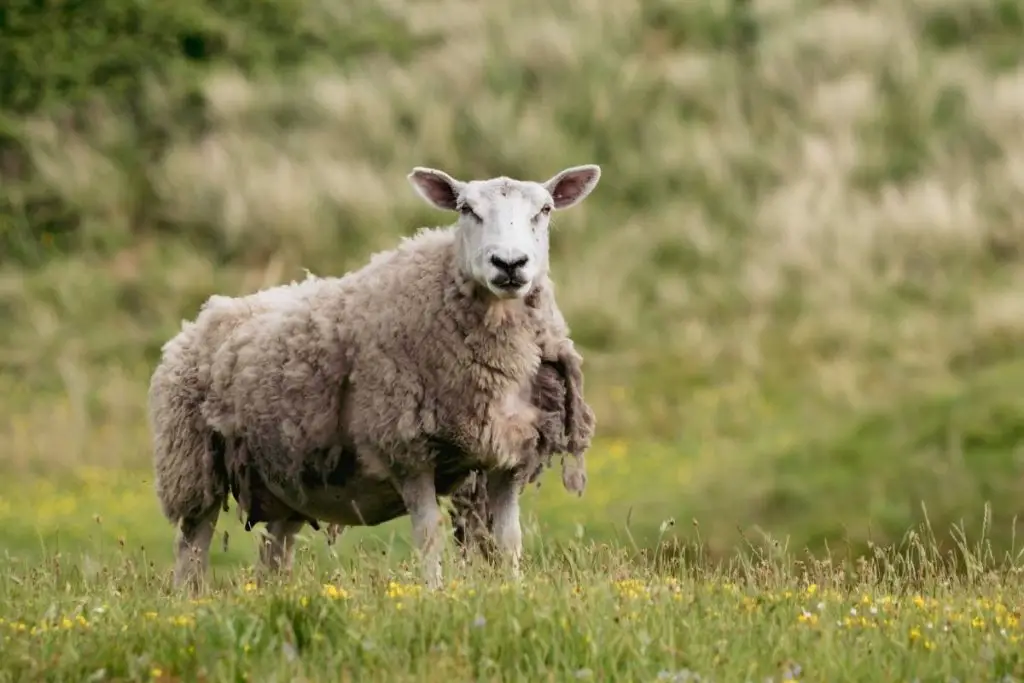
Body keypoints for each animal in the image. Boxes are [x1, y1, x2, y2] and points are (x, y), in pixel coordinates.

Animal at [148, 162, 602, 589]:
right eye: (465, 209)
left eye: (544, 210)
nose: (509, 264)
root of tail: (203, 315)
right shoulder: (408, 451)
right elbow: (428, 536)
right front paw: (435, 595)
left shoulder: (510, 454)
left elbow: (509, 540)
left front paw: (512, 589)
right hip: (191, 466)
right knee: (192, 547)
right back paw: (190, 600)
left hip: (287, 479)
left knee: (272, 555)